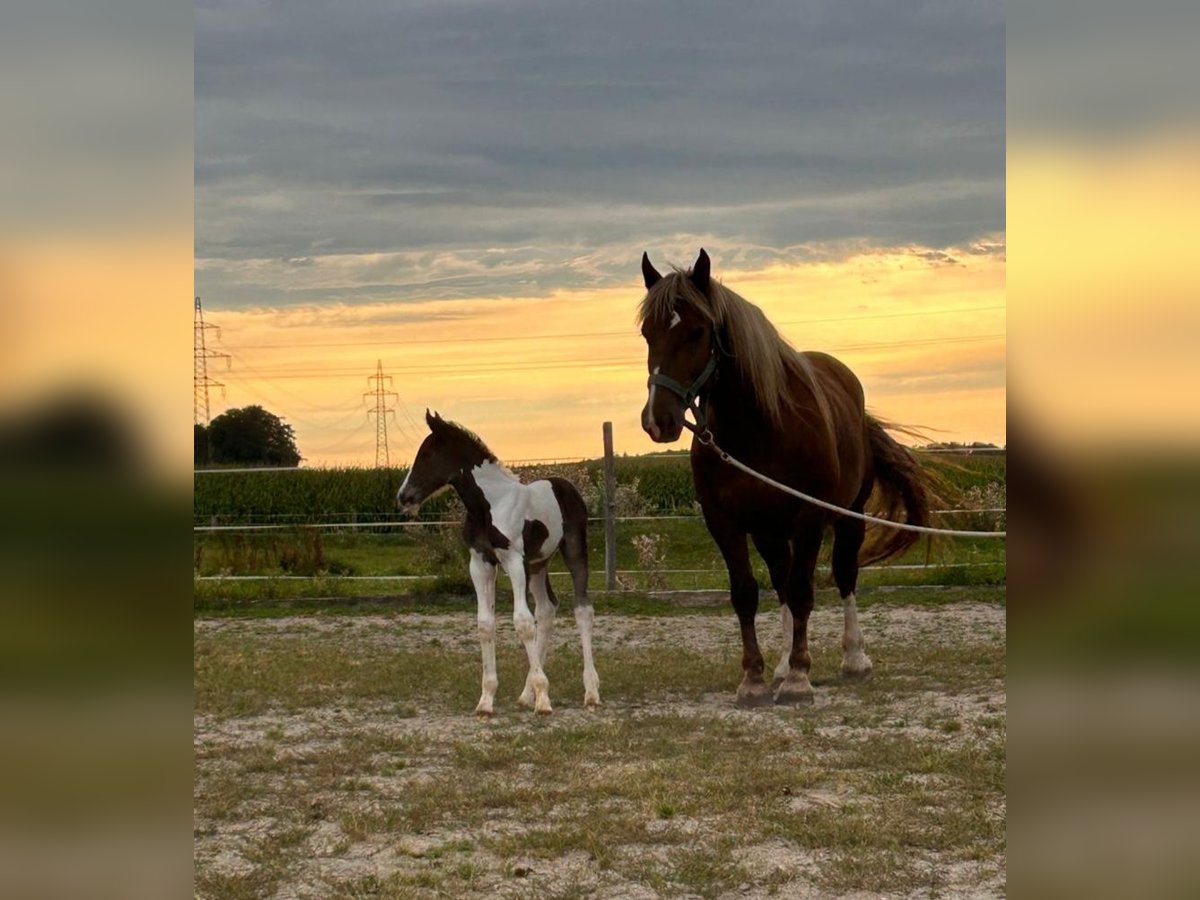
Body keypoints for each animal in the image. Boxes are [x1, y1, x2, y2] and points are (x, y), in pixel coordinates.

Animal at [396, 412, 597, 715]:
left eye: (428, 454)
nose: (403, 497)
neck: (488, 506)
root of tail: (566, 485)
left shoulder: (513, 559)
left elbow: (523, 622)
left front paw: (544, 700)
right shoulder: (480, 562)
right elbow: (485, 623)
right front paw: (486, 700)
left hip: (573, 549)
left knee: (582, 609)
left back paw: (591, 692)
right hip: (538, 564)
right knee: (547, 609)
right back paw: (526, 695)